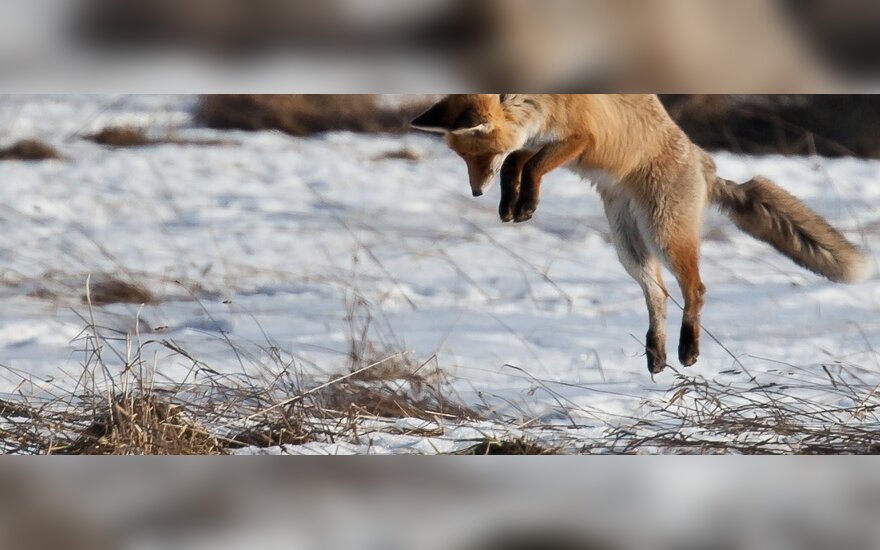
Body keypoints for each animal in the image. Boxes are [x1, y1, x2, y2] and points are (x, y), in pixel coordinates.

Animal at [412, 95, 872, 378]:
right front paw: (512, 205)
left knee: (696, 289)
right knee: (659, 294)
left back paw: (688, 350)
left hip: (664, 235)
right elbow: (516, 166)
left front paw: (525, 204)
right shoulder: (532, 143)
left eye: (479, 154)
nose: (475, 192)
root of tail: (705, 163)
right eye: (462, 157)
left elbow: (532, 166)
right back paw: (657, 354)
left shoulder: (580, 137)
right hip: (628, 244)